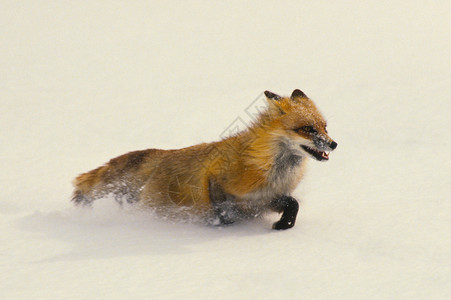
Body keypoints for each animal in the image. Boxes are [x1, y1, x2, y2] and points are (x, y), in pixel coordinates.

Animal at [72, 89, 338, 230]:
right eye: (308, 129)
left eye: (324, 127)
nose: (333, 144)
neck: (275, 171)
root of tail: (163, 155)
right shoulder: (218, 180)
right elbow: (221, 209)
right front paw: (221, 226)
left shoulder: (264, 197)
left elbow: (293, 204)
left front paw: (284, 225)